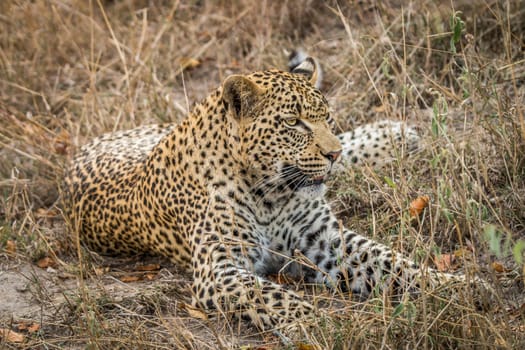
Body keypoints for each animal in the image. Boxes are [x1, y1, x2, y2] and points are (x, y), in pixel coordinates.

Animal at [64, 57, 488, 334]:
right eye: (293, 123)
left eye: (325, 117)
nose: (331, 154)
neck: (269, 193)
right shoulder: (219, 268)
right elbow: (269, 295)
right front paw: (316, 323)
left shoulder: (325, 240)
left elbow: (391, 261)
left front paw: (457, 287)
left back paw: (393, 136)